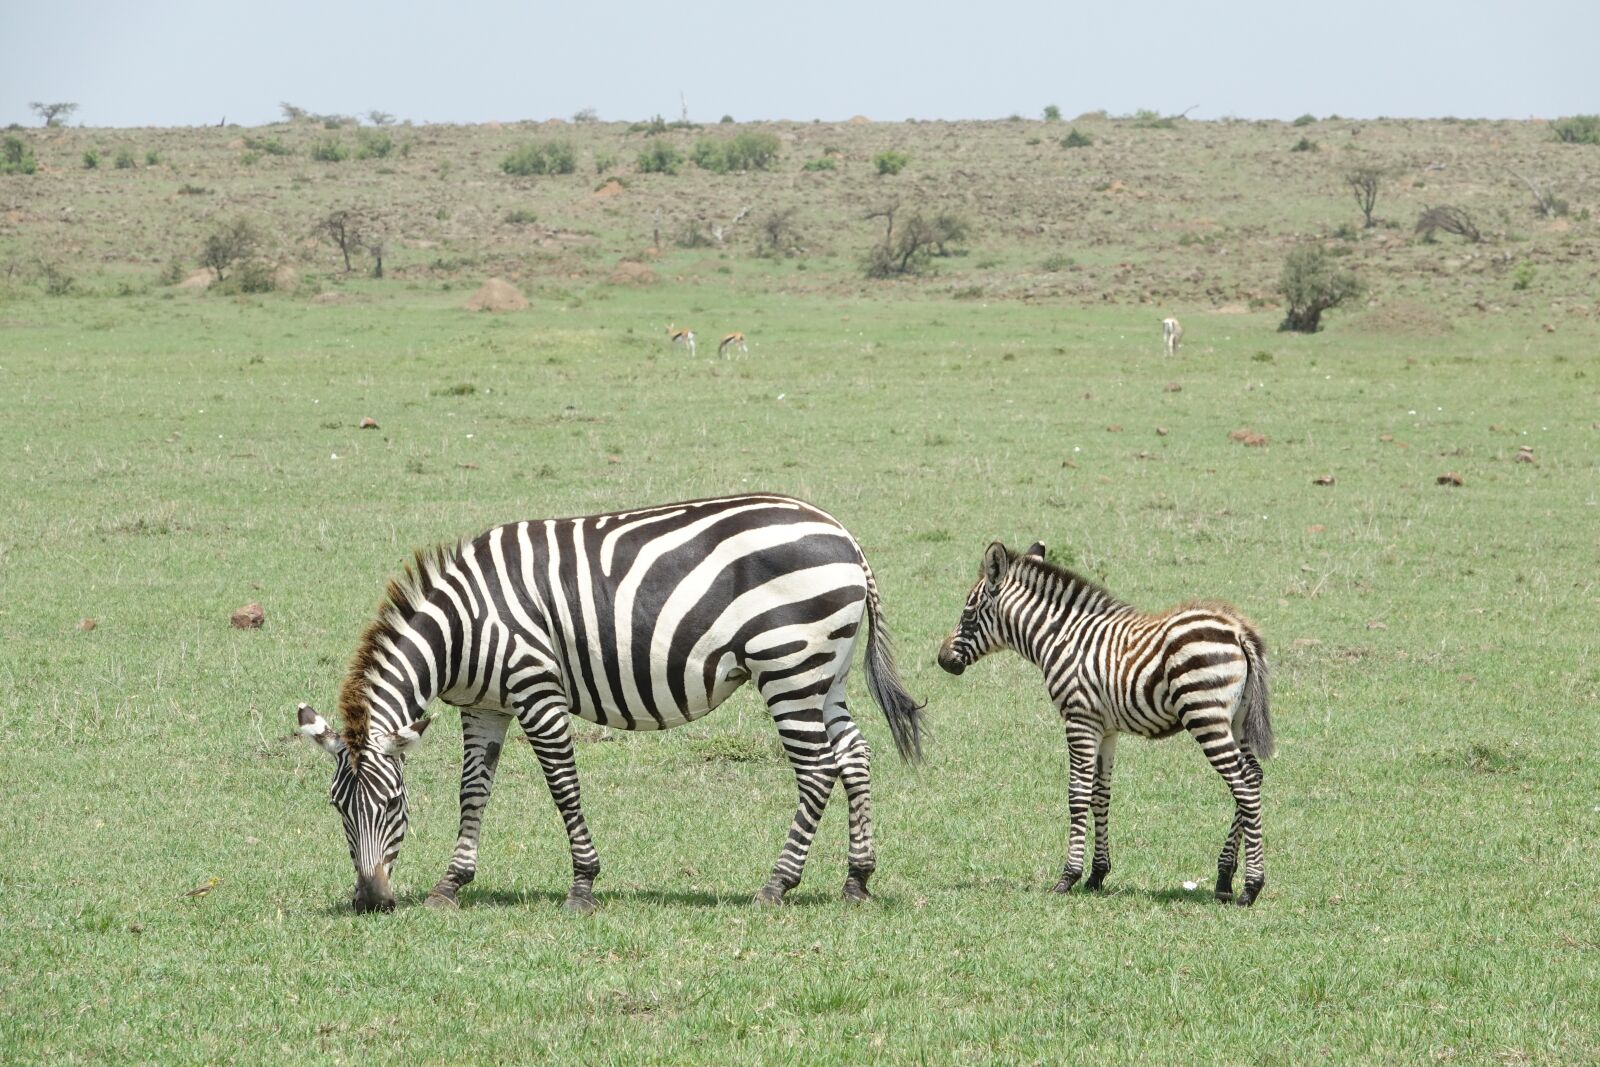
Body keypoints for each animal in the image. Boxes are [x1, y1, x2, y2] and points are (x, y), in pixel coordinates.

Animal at [295, 494, 923, 914]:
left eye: (394, 803)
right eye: (336, 808)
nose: (371, 901)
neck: (464, 627)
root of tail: (845, 535)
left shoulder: (536, 689)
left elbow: (563, 787)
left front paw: (582, 886)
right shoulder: (484, 707)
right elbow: (472, 792)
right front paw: (451, 885)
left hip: (787, 665)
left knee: (817, 769)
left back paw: (776, 885)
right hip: (824, 673)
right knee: (855, 756)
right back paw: (857, 880)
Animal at [936, 541, 1274, 905]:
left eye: (968, 612)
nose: (943, 660)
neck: (1060, 638)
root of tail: (1238, 631)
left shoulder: (1079, 719)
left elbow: (1078, 793)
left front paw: (1068, 877)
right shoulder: (1106, 729)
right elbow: (1101, 794)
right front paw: (1097, 874)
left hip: (1204, 714)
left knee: (1243, 784)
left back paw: (1251, 887)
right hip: (1237, 720)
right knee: (1253, 776)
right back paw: (1224, 878)